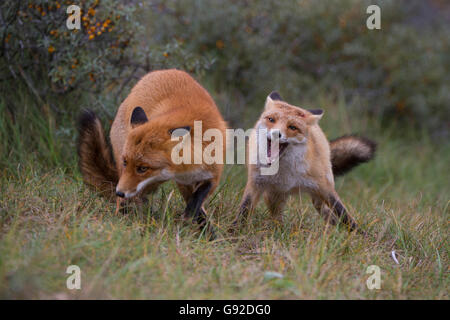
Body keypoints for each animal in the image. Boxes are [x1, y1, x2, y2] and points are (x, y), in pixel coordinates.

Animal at [77, 69, 227, 232]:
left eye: (143, 168)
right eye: (126, 162)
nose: (119, 192)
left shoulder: (212, 175)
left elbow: (199, 200)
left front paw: (205, 231)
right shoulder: (183, 182)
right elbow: (196, 207)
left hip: (147, 184)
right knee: (124, 201)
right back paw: (122, 219)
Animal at [236, 91, 376, 234]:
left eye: (292, 127)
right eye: (271, 120)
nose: (276, 134)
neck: (284, 174)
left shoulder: (324, 187)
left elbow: (343, 214)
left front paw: (360, 234)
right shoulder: (255, 182)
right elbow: (244, 210)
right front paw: (235, 230)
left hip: (318, 196)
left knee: (328, 214)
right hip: (273, 197)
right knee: (277, 217)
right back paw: (280, 230)